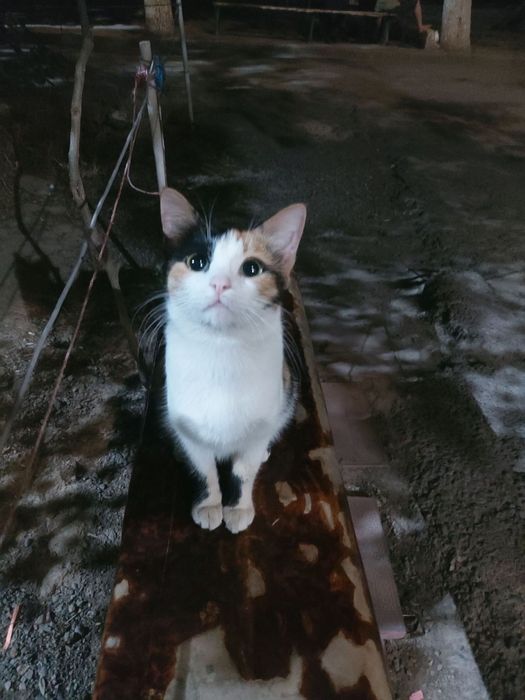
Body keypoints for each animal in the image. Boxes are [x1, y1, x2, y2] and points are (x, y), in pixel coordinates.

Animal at [160, 187, 306, 533]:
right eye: (197, 262)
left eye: (252, 268)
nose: (220, 283)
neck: (221, 350)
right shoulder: (190, 431)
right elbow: (203, 471)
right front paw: (209, 504)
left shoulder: (261, 425)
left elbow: (243, 471)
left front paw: (238, 509)